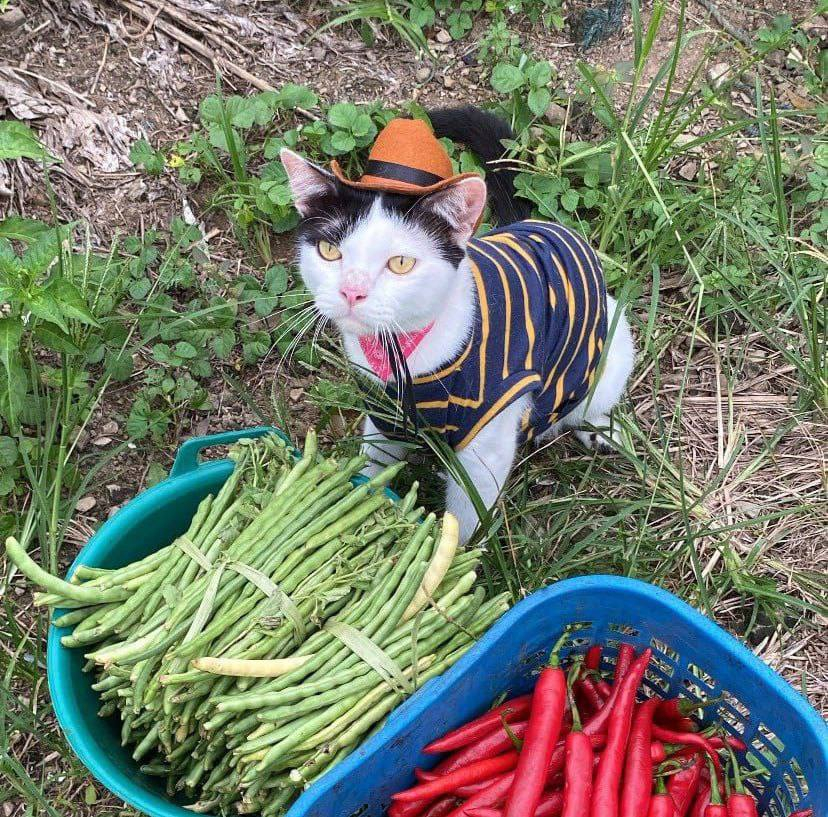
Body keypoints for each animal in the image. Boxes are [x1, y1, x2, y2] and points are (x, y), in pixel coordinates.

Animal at [280, 106, 635, 543]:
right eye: (330, 251)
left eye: (401, 263)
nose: (352, 291)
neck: (404, 354)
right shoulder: (382, 415)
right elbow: (375, 466)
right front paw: (359, 499)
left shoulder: (486, 450)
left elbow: (465, 520)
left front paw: (450, 554)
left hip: (613, 345)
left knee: (588, 402)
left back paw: (598, 429)